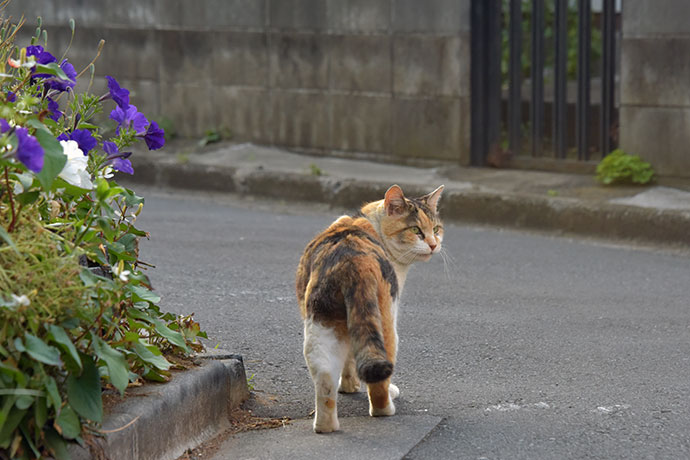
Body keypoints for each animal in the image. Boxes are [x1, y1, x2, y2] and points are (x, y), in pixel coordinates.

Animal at [292, 182, 444, 432]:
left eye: (437, 228)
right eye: (415, 230)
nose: (433, 244)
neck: (368, 222)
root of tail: (353, 263)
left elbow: (350, 359)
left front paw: (349, 386)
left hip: (321, 328)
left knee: (324, 378)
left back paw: (325, 426)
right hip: (386, 325)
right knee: (380, 379)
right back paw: (386, 407)